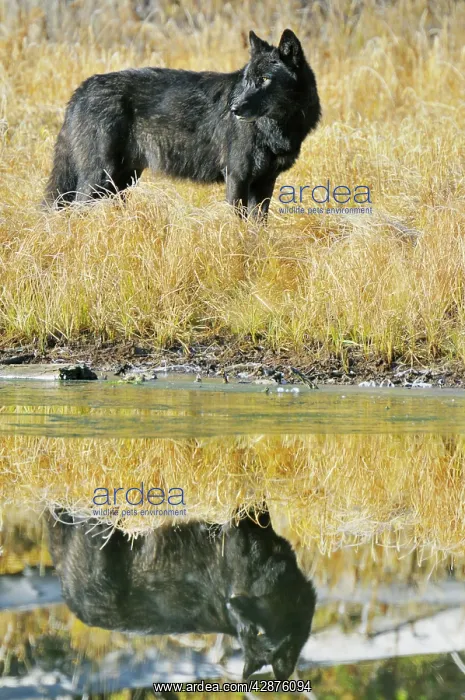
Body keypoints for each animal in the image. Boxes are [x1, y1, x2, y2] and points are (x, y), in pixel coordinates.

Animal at [43, 29, 321, 218]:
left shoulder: (265, 183)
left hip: (121, 181)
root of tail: (82, 88)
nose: (233, 109)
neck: (276, 128)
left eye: (264, 79)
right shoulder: (237, 177)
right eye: (247, 79)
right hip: (100, 178)